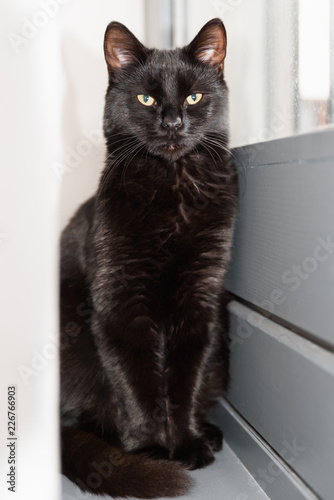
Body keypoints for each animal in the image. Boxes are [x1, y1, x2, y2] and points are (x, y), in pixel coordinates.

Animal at [60, 17, 237, 498]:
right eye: (146, 98)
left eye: (194, 96)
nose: (173, 123)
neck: (172, 186)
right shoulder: (120, 306)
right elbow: (135, 382)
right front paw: (151, 451)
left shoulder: (200, 300)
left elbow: (185, 378)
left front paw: (188, 441)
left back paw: (209, 433)